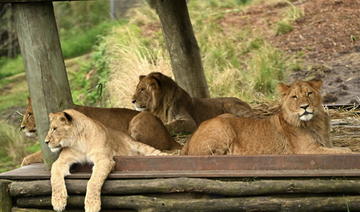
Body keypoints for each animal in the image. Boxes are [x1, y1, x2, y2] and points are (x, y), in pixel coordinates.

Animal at [183, 79, 352, 156]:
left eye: (309, 93)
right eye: (294, 97)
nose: (304, 107)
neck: (315, 122)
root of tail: (190, 138)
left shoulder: (325, 145)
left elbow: (342, 149)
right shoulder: (307, 150)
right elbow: (347, 150)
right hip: (222, 126)